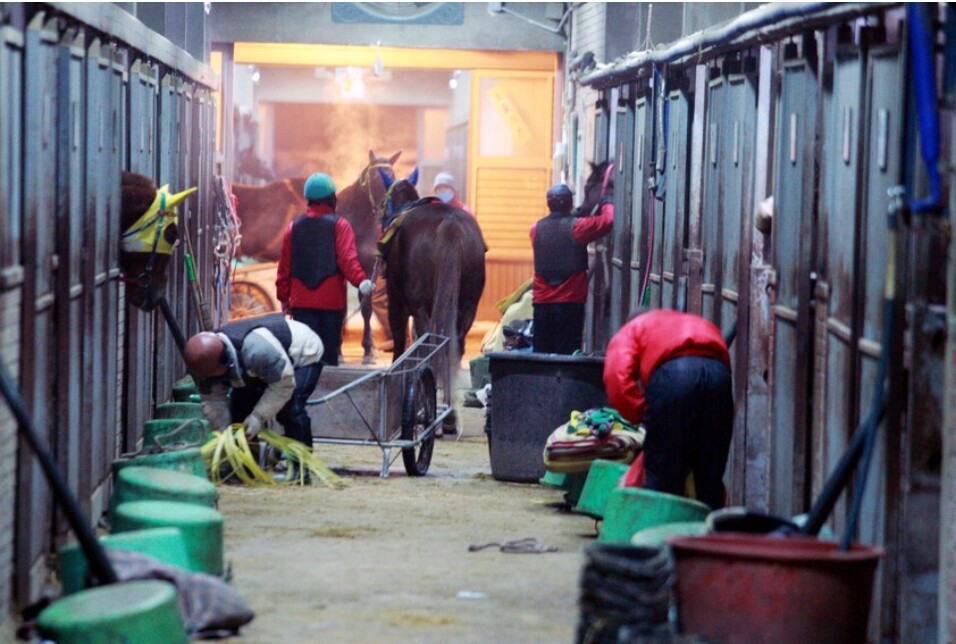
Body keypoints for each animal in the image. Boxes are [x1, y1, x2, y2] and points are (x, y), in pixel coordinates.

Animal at [380, 171, 490, 432]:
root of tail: (450, 225)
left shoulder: (396, 302)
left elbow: (400, 343)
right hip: (467, 306)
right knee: (454, 346)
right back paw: (448, 414)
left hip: (420, 308)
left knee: (430, 344)